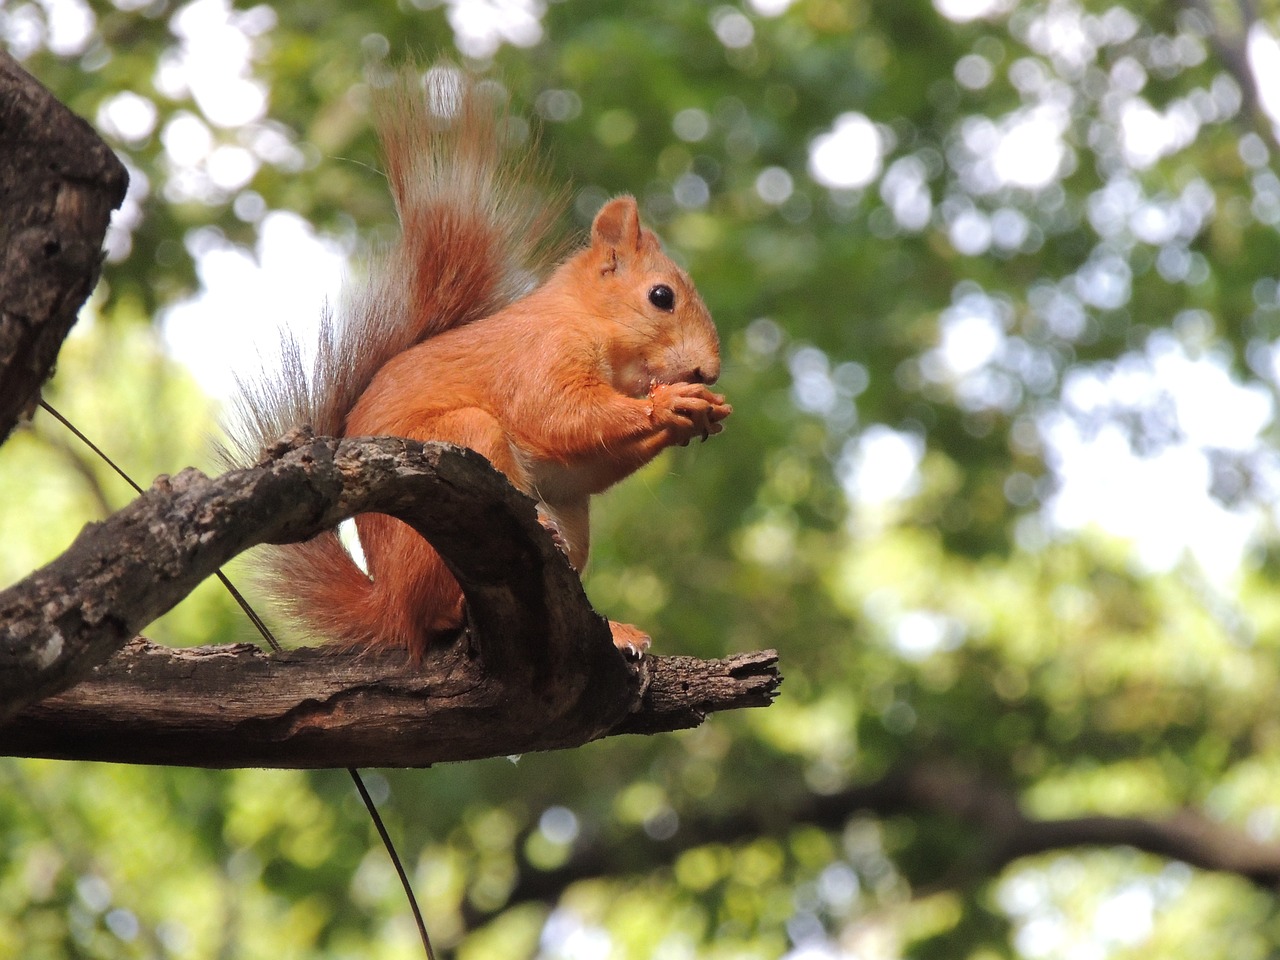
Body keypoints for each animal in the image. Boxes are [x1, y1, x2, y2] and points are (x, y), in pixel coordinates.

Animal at [227, 69, 732, 660]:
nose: (708, 372)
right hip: (463, 446)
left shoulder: (573, 469)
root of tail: (391, 607)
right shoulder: (540, 357)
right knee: (441, 609)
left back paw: (612, 630)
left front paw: (700, 412)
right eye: (661, 297)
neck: (584, 319)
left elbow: (586, 460)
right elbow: (559, 416)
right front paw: (671, 404)